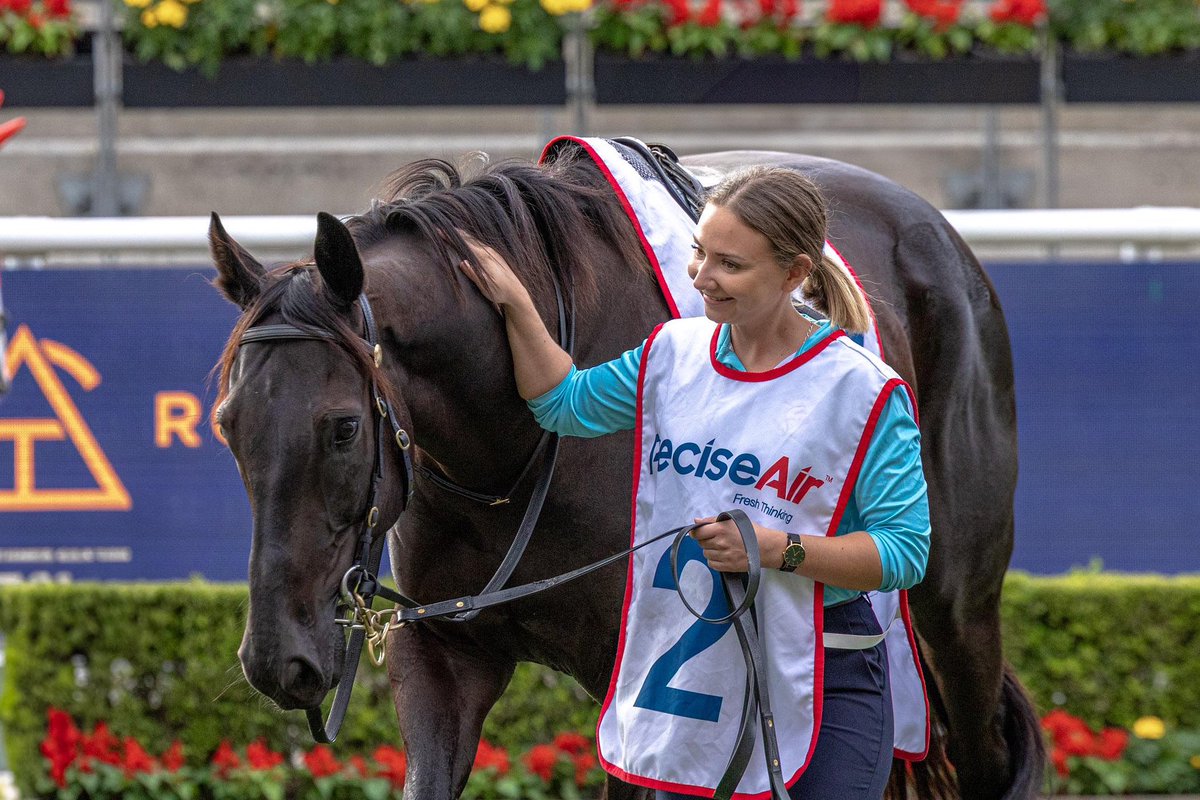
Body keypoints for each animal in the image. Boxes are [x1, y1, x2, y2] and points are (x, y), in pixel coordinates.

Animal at [209, 145, 1044, 800]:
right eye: (227, 426)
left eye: (344, 427)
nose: (278, 660)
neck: (513, 449)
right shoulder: (445, 649)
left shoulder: (645, 690)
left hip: (955, 611)